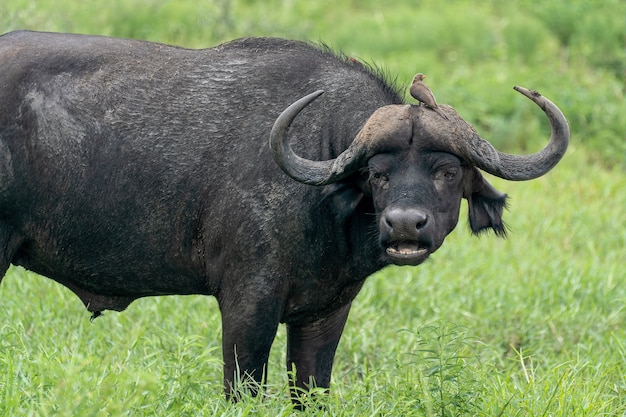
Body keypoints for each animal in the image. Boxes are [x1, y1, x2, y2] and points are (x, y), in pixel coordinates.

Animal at [0, 30, 564, 400]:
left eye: (447, 170)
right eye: (377, 173)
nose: (405, 224)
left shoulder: (326, 311)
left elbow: (311, 390)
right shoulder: (246, 304)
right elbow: (243, 389)